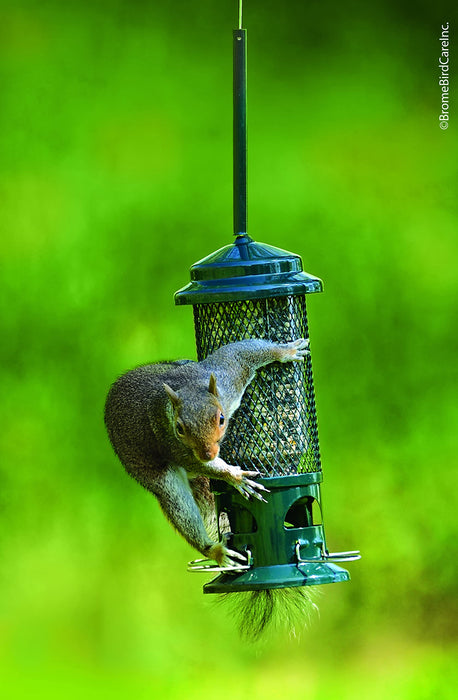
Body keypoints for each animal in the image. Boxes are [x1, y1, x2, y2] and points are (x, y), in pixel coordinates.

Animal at [104, 338, 309, 568]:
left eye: (221, 419)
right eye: (179, 428)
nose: (208, 454)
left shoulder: (229, 377)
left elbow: (241, 352)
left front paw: (286, 351)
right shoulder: (169, 441)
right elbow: (198, 464)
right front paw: (234, 476)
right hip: (158, 478)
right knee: (178, 504)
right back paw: (215, 551)